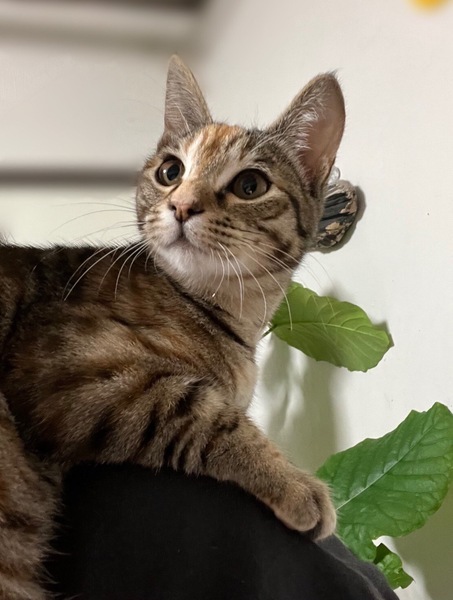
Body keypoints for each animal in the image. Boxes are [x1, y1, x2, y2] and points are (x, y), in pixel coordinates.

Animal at [0, 56, 345, 599]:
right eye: (170, 171)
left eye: (250, 185)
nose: (181, 205)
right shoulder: (64, 371)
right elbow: (200, 408)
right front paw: (293, 482)